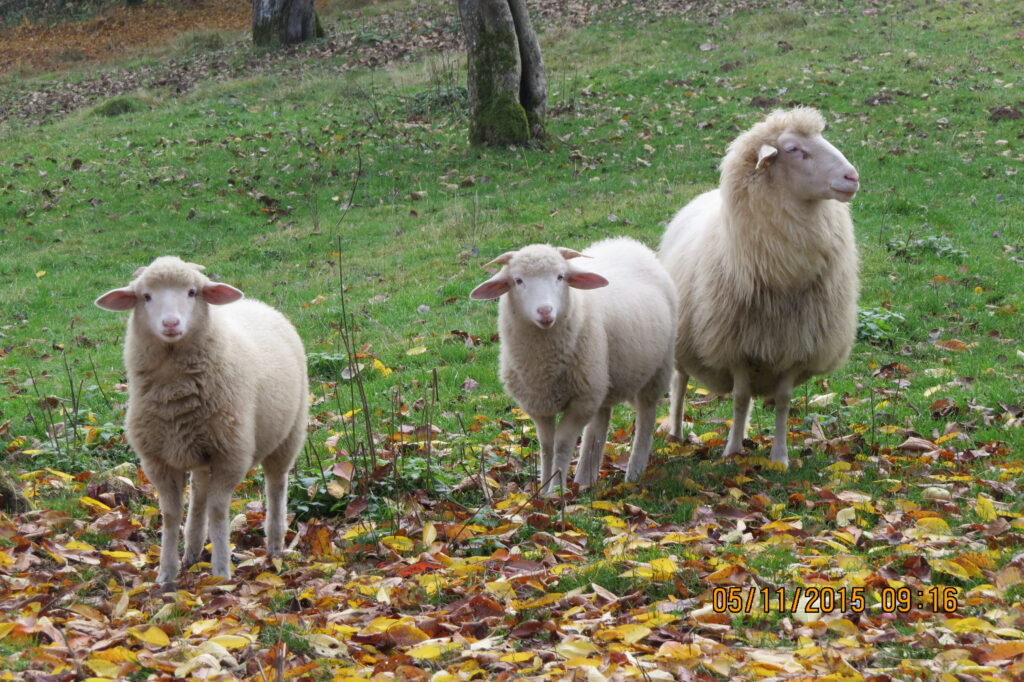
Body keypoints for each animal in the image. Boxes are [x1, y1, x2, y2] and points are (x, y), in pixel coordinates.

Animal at [95, 256, 308, 585]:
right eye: (146, 296)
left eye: (192, 292)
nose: (171, 324)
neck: (175, 391)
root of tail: (257, 303)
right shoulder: (157, 460)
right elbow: (171, 515)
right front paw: (166, 573)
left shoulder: (231, 454)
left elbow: (219, 511)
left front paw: (221, 573)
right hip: (196, 446)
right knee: (199, 492)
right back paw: (192, 550)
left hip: (289, 433)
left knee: (276, 485)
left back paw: (274, 546)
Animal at [471, 237, 677, 493]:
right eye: (518, 280)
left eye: (560, 277)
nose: (545, 311)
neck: (545, 365)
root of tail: (626, 242)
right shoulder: (538, 403)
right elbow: (546, 445)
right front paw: (543, 488)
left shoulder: (581, 402)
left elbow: (562, 443)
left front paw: (556, 491)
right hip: (601, 379)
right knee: (600, 422)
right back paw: (585, 479)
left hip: (657, 371)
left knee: (646, 419)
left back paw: (634, 472)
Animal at [659, 107, 860, 468]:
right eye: (793, 149)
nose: (852, 177)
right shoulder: (735, 345)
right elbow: (739, 398)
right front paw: (731, 452)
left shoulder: (795, 345)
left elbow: (782, 401)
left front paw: (779, 457)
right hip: (684, 337)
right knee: (680, 383)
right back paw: (676, 433)